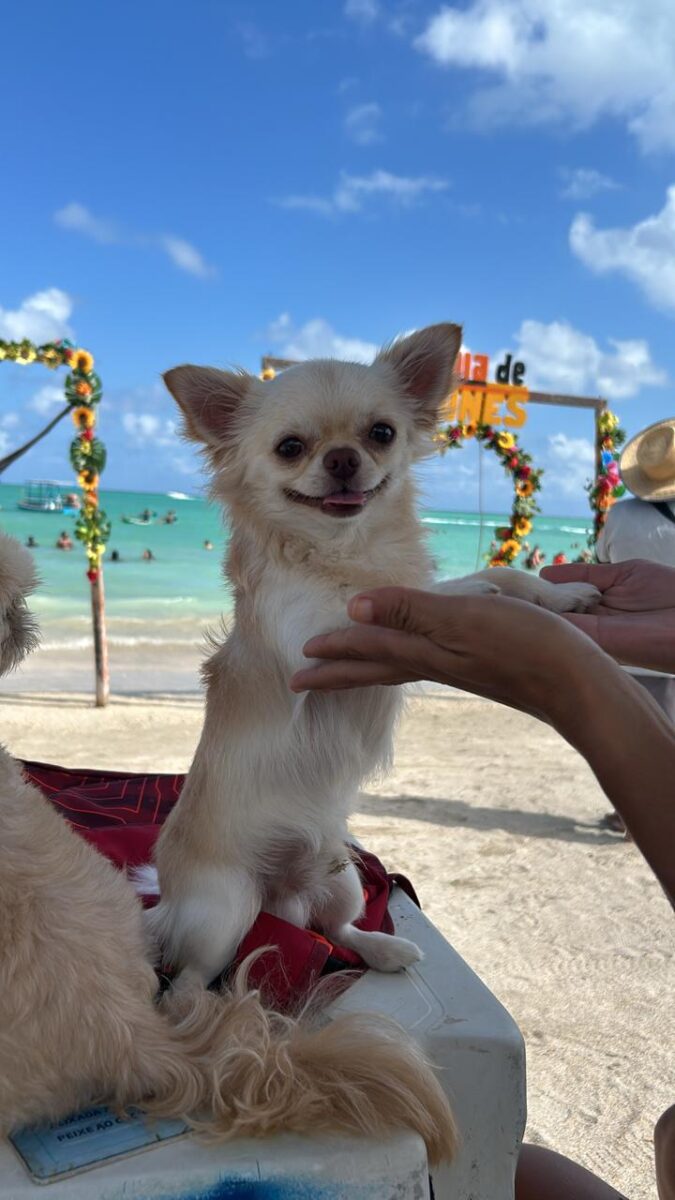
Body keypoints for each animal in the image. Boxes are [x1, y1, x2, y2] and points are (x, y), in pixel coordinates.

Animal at [149, 323, 598, 989]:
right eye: (289, 447)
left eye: (381, 433)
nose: (341, 458)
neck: (346, 550)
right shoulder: (314, 636)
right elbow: (400, 597)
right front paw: (470, 600)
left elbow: (496, 574)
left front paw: (560, 595)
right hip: (224, 910)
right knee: (190, 981)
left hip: (345, 879)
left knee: (335, 929)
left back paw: (384, 950)